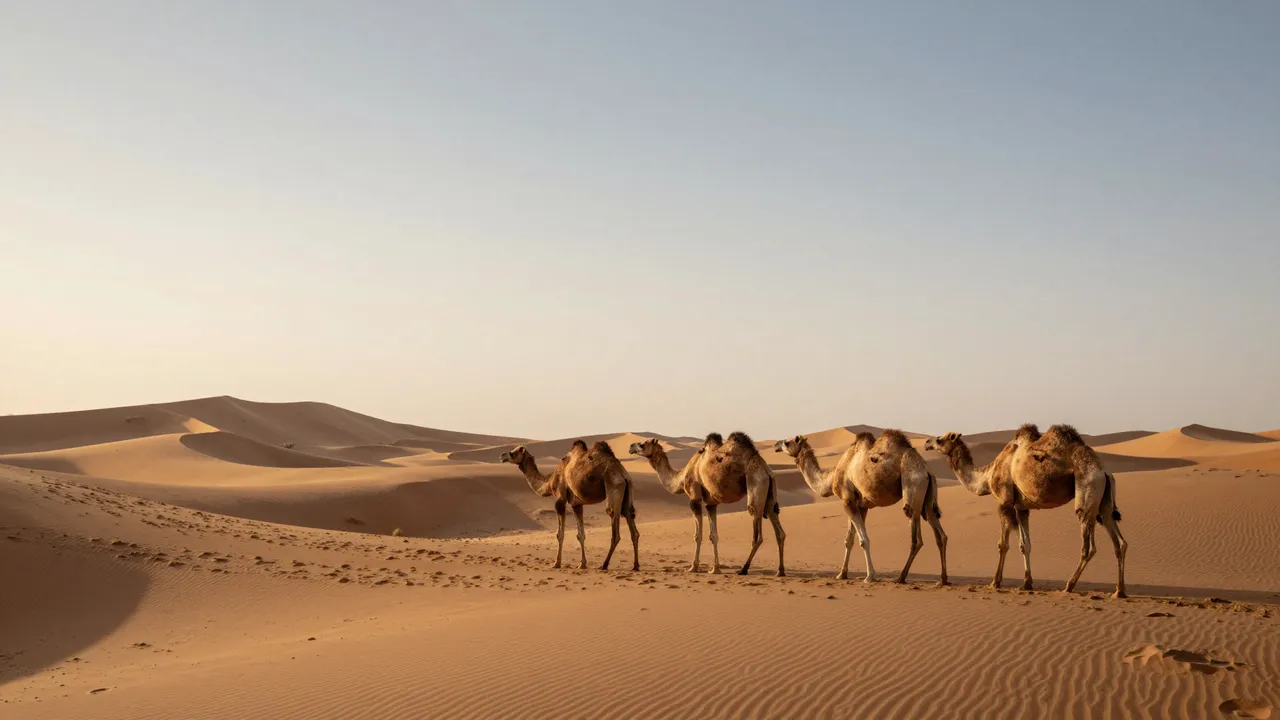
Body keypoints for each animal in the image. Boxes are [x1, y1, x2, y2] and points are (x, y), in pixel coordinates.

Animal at [500, 440, 639, 571]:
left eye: (513, 452)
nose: (502, 456)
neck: (550, 482)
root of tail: (623, 474)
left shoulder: (560, 499)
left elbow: (560, 535)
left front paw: (556, 563)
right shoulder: (577, 505)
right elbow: (581, 535)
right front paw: (582, 564)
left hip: (613, 486)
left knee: (615, 529)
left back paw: (604, 565)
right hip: (627, 494)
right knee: (632, 526)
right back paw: (635, 566)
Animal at [628, 432, 785, 576]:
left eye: (643, 444)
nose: (631, 447)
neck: (681, 477)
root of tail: (766, 470)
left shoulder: (694, 497)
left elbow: (698, 535)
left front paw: (693, 567)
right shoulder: (711, 503)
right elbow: (713, 535)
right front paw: (715, 569)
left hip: (756, 482)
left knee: (757, 530)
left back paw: (744, 569)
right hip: (769, 494)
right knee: (779, 530)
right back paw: (780, 571)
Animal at [775, 430, 948, 585]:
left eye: (787, 442)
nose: (776, 444)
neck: (832, 477)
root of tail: (926, 469)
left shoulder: (846, 500)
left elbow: (863, 540)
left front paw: (869, 576)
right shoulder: (859, 504)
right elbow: (849, 539)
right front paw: (841, 574)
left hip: (912, 486)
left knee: (916, 537)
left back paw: (901, 578)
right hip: (928, 497)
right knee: (940, 534)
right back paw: (943, 579)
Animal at [924, 424, 1127, 597]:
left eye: (940, 440)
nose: (927, 443)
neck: (987, 476)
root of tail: (1103, 471)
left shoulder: (1004, 501)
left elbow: (1003, 545)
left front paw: (995, 582)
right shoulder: (1021, 507)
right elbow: (1025, 544)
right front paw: (1027, 583)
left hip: (1088, 488)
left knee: (1088, 546)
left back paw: (1069, 586)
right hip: (1105, 502)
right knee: (1119, 542)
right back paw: (1119, 591)